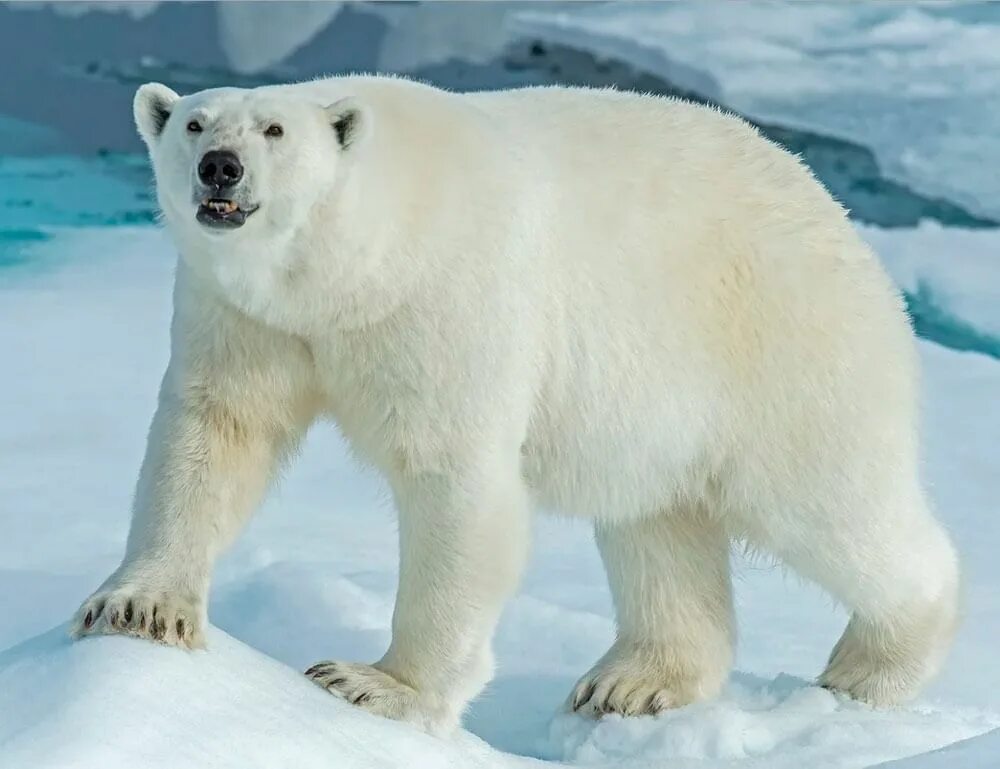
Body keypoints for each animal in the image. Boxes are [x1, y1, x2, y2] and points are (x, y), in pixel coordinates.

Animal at [72, 76, 960, 732]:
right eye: (193, 123)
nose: (220, 166)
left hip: (780, 347)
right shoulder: (249, 315)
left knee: (829, 502)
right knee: (657, 525)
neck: (353, 262)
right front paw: (140, 606)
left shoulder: (444, 299)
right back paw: (631, 683)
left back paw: (869, 669)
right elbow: (217, 430)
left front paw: (373, 684)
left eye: (276, 131)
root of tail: (835, 214)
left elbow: (454, 480)